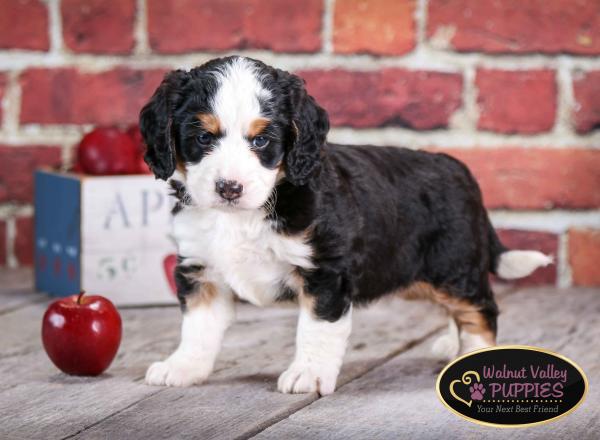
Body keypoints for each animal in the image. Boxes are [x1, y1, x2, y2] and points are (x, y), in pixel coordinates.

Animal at [138, 55, 552, 396]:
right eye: (202, 137)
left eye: (261, 141)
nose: (228, 188)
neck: (248, 214)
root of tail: (460, 169)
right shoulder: (201, 270)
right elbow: (198, 328)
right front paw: (183, 367)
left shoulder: (325, 271)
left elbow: (317, 329)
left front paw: (307, 375)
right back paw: (454, 344)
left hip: (453, 267)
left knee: (481, 308)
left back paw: (472, 352)